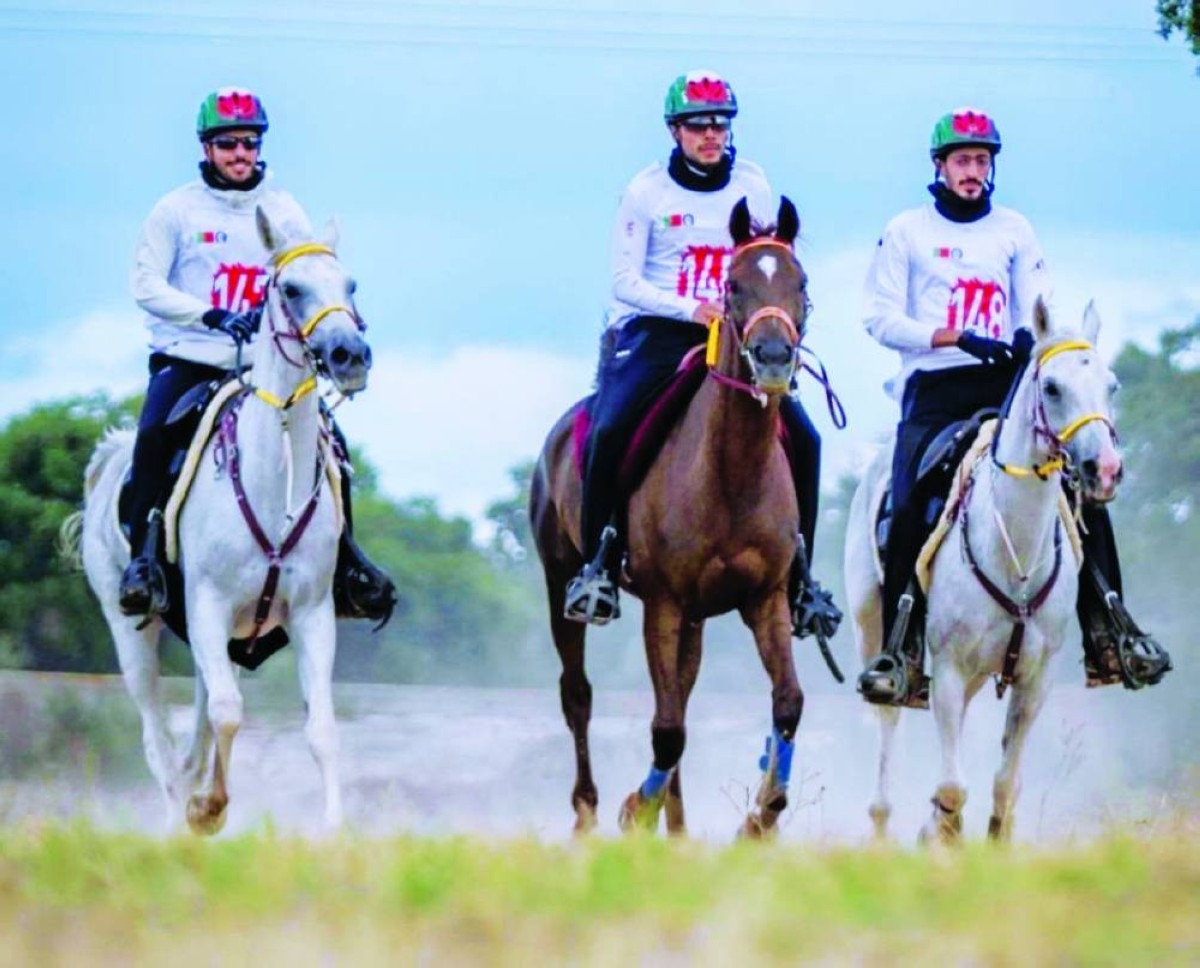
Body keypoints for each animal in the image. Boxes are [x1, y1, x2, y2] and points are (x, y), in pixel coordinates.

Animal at [64, 208, 364, 834]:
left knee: (200, 715)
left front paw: (332, 829)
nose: (351, 355)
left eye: (350, 285)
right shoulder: (207, 603)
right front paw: (207, 809)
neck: (272, 479)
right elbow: (228, 713)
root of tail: (110, 461)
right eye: (291, 289)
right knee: (158, 734)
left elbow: (320, 728)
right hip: (132, 625)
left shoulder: (311, 613)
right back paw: (178, 811)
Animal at [535, 196, 816, 839]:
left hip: (696, 615)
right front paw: (635, 810)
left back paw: (680, 826)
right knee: (578, 693)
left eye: (801, 283)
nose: (773, 359)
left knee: (680, 695)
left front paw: (762, 817)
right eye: (732, 285)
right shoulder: (662, 602)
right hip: (560, 581)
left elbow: (787, 702)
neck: (731, 473)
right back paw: (589, 811)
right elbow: (665, 729)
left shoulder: (764, 599)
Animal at [844, 298, 1123, 844]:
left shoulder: (1035, 679)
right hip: (870, 625)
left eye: (1111, 385)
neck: (1014, 552)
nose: (1103, 469)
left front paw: (991, 840)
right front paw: (940, 834)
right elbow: (953, 786)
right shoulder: (950, 669)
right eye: (1052, 387)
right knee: (886, 715)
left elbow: (1004, 782)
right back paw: (882, 823)